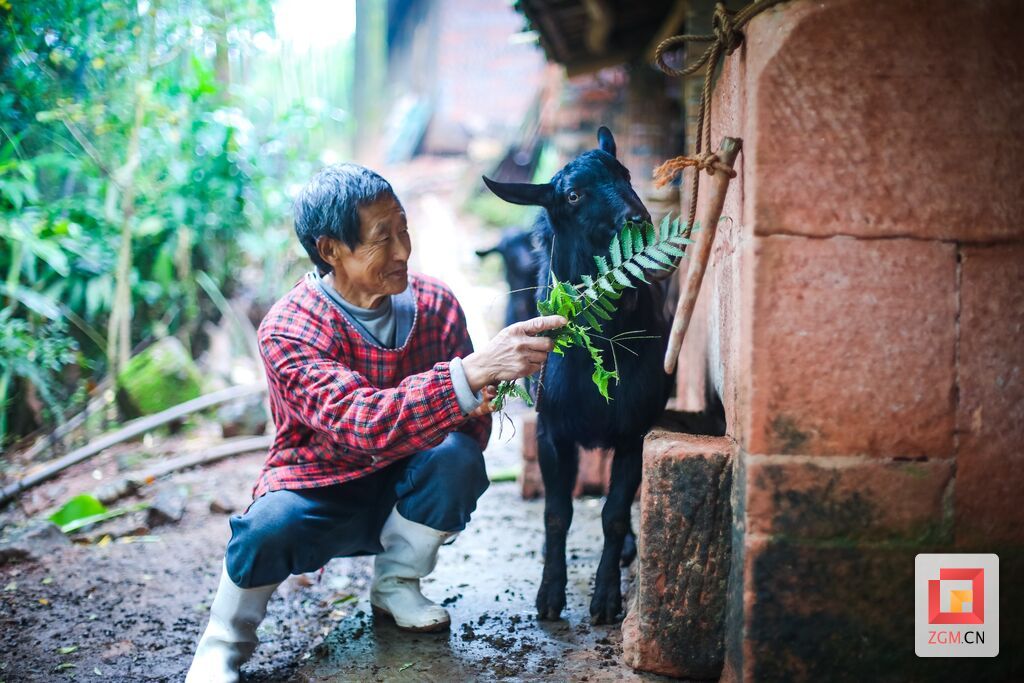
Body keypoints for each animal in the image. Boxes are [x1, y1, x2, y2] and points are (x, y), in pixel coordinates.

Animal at [483, 127, 675, 624]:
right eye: (573, 195)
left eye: (626, 174)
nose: (638, 218)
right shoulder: (552, 430)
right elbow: (557, 514)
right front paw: (549, 596)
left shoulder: (633, 428)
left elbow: (613, 513)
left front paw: (606, 599)